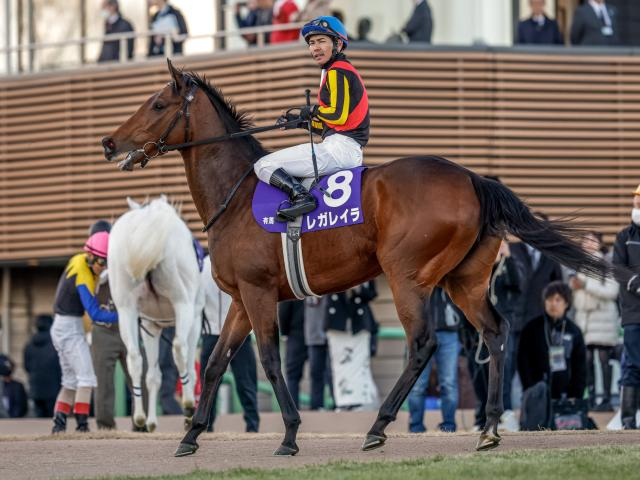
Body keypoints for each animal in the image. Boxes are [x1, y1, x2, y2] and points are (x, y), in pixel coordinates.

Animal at [108, 195, 204, 432]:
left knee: (134, 358)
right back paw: (188, 404)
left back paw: (140, 416)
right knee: (179, 348)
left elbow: (153, 376)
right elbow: (190, 366)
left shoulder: (150, 327)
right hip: (183, 304)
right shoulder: (195, 320)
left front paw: (151, 420)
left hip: (127, 311)